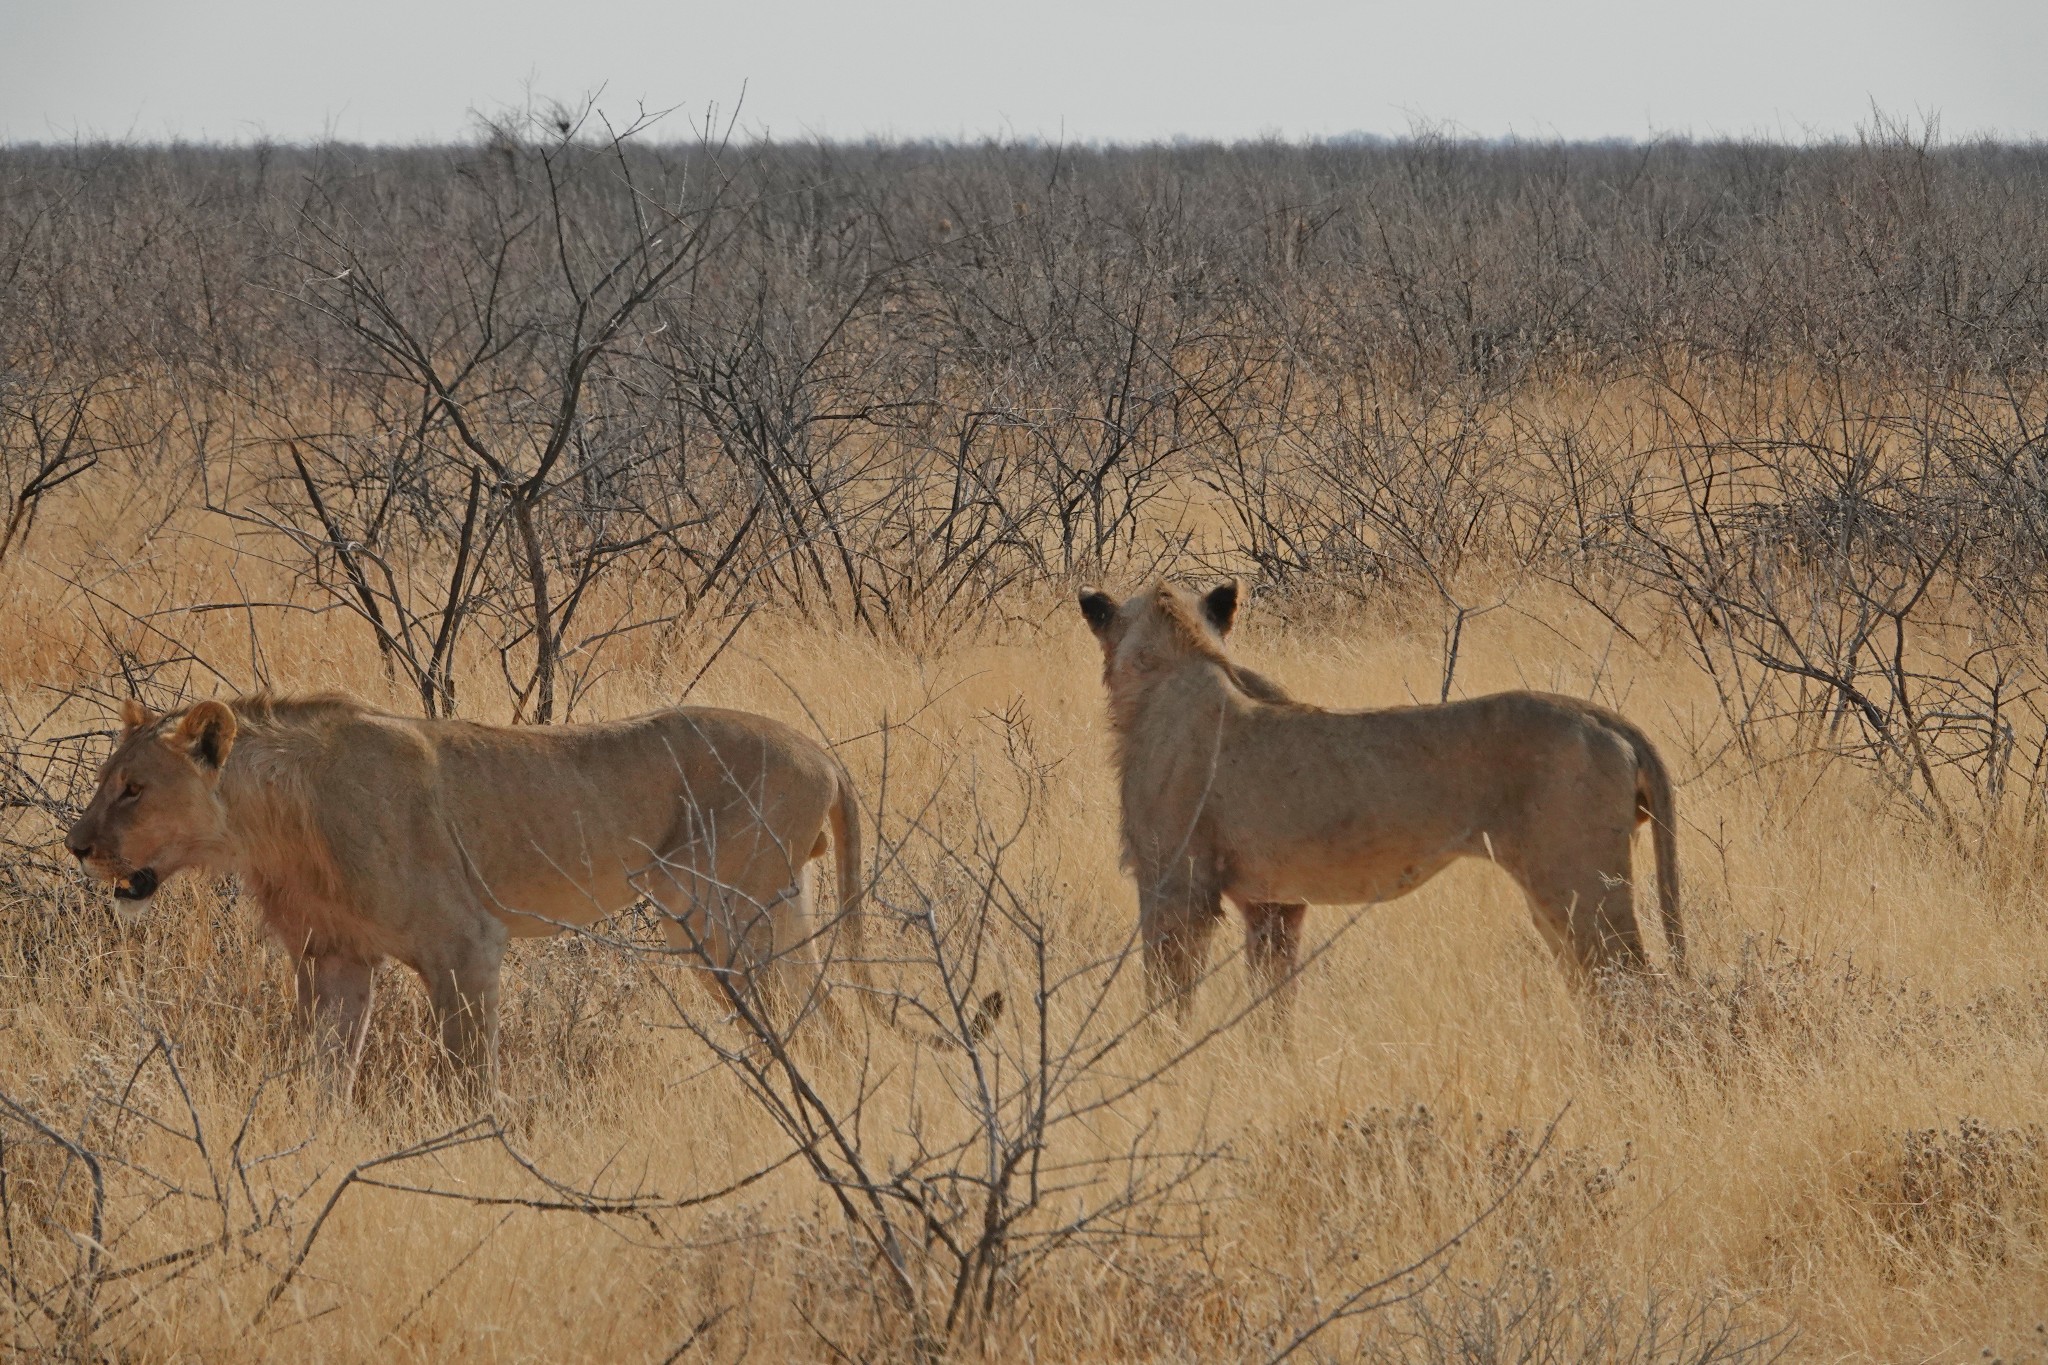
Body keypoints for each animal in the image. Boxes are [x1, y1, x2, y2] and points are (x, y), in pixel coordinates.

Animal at [64, 699, 901, 1096]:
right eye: (107, 779)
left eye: (134, 789)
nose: (76, 845)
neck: (266, 826)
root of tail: (824, 753)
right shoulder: (334, 957)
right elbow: (324, 1069)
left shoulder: (465, 943)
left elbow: (467, 1076)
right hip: (772, 910)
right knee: (826, 1017)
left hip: (721, 913)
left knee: (805, 1017)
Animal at [1073, 581, 1679, 1019]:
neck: (1177, 665)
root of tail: (1605, 717)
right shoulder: (1274, 903)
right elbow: (1272, 1007)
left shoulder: (1176, 887)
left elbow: (1166, 997)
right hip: (1554, 899)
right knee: (1595, 988)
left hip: (1580, 884)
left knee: (1640, 988)